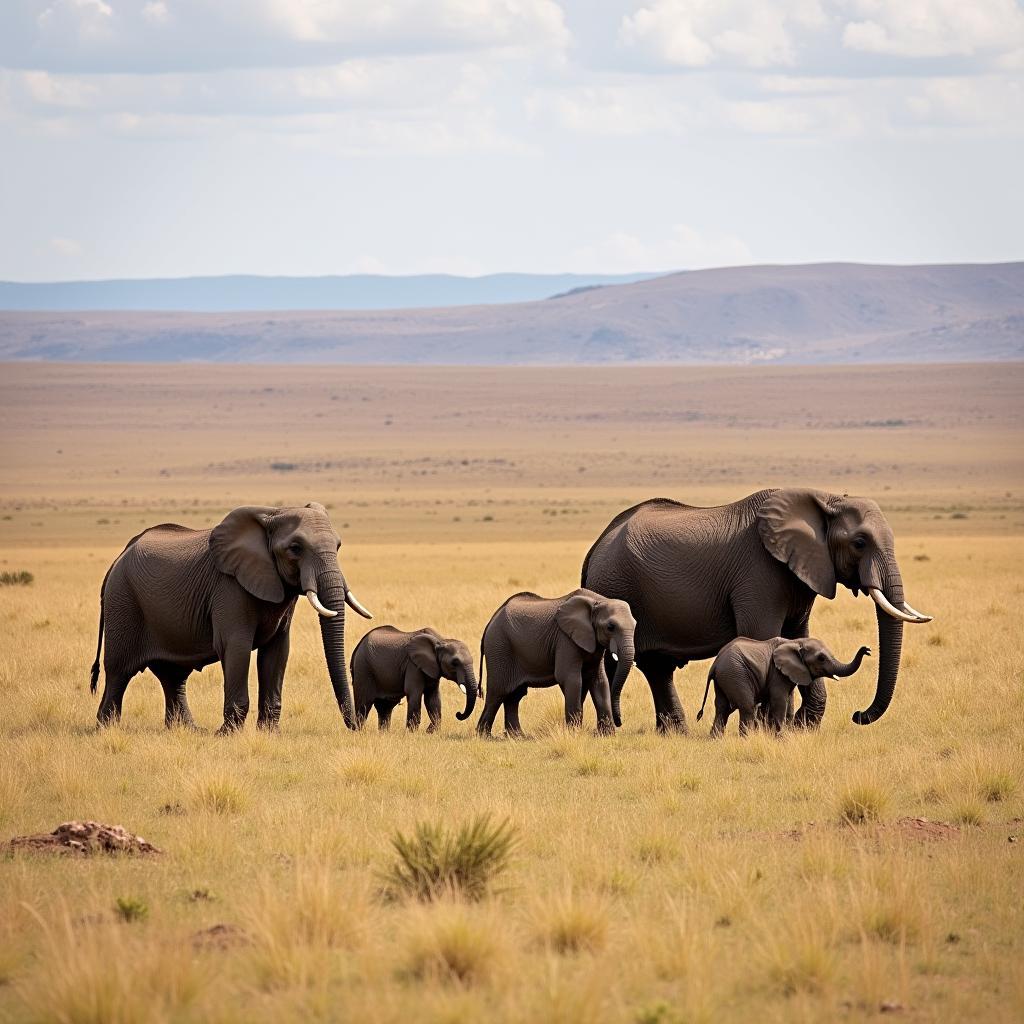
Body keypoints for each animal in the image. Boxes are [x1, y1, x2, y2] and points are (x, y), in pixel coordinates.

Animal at [89, 501, 372, 729]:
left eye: (338, 546)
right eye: (295, 548)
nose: (356, 724)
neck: (272, 513)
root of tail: (118, 558)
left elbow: (277, 651)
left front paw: (268, 734)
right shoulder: (229, 587)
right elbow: (235, 646)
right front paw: (227, 735)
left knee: (173, 675)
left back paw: (188, 731)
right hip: (123, 602)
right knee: (119, 672)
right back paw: (108, 729)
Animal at [475, 589, 634, 741]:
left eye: (635, 625)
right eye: (610, 627)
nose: (620, 721)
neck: (598, 601)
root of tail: (490, 621)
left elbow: (599, 681)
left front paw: (606, 735)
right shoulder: (565, 639)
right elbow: (570, 678)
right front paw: (574, 734)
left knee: (514, 696)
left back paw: (517, 736)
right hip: (499, 648)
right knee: (497, 694)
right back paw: (484, 736)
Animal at [696, 630, 872, 737]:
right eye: (821, 658)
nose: (867, 650)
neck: (797, 642)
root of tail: (715, 664)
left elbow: (780, 701)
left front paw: (773, 735)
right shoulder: (777, 673)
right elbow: (779, 701)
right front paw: (782, 737)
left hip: (725, 677)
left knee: (722, 709)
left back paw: (716, 739)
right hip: (735, 673)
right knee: (747, 707)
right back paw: (745, 739)